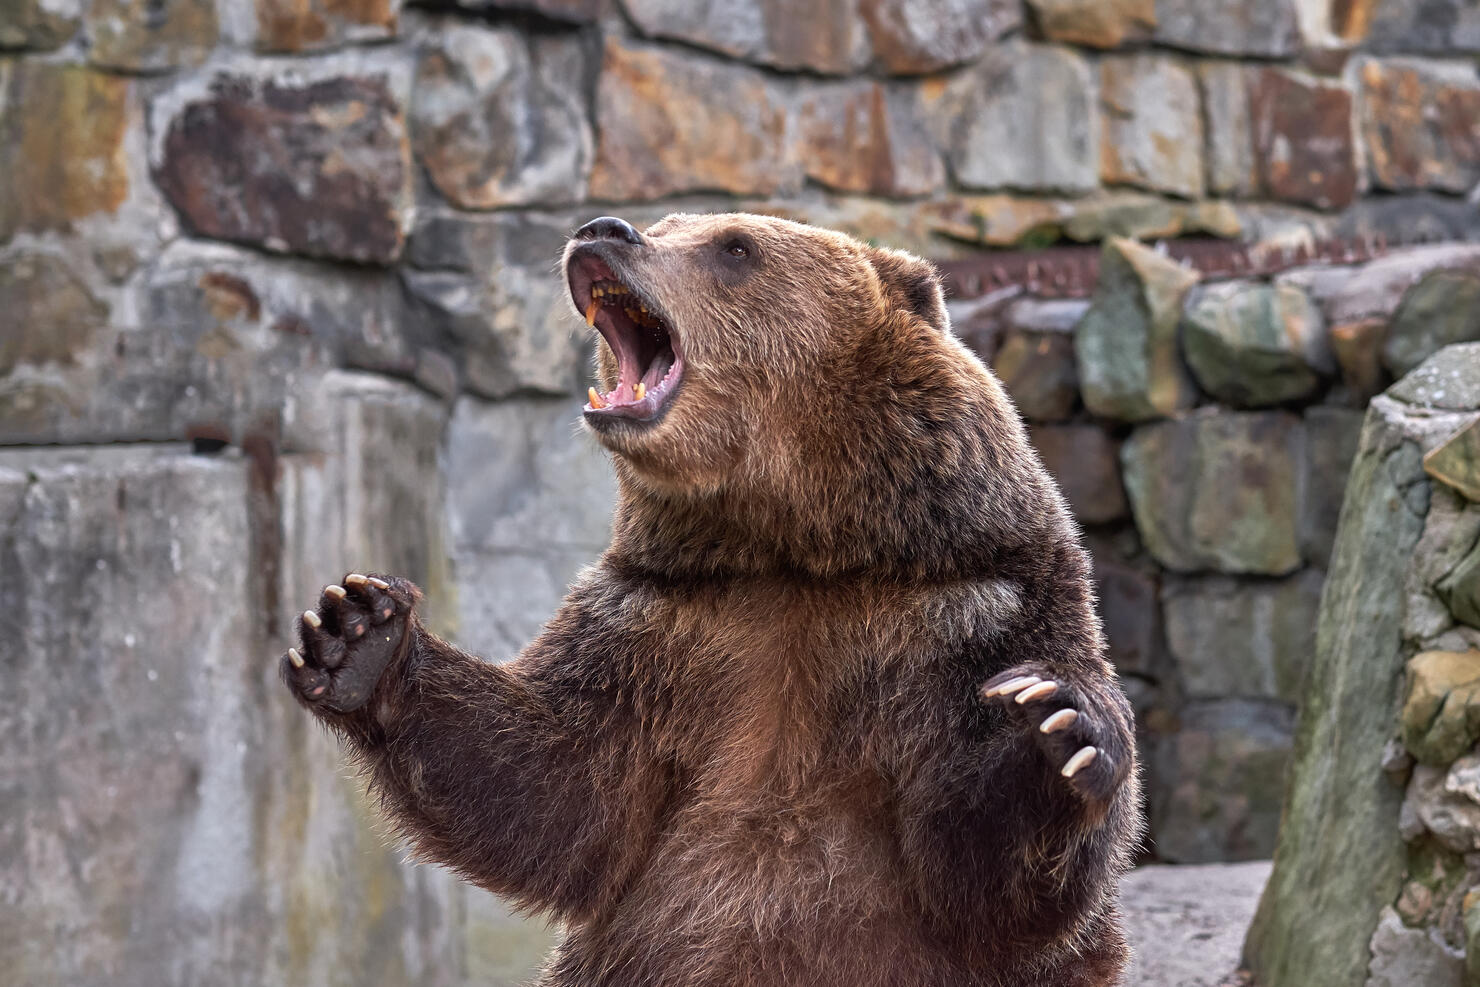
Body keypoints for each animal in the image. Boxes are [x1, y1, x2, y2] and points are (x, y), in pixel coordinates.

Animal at [281, 213, 1143, 986]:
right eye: (666, 222)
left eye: (734, 246)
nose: (603, 230)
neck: (794, 546)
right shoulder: (660, 622)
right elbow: (555, 789)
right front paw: (357, 631)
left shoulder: (974, 610)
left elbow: (982, 882)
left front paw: (1050, 730)